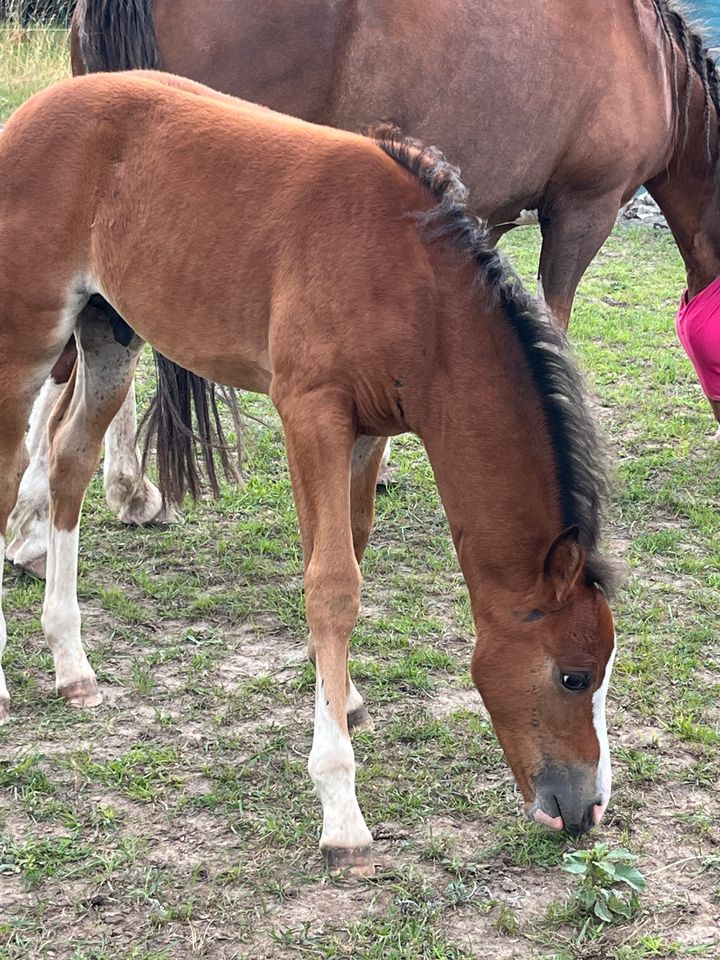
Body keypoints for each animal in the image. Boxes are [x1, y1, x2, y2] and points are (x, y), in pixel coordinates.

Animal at [0, 73, 620, 872]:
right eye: (574, 674)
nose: (585, 811)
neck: (414, 288)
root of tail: (34, 111)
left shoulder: (367, 430)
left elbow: (349, 545)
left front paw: (343, 695)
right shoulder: (311, 411)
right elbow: (332, 585)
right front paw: (341, 807)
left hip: (109, 332)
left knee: (69, 462)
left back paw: (71, 662)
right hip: (25, 336)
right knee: (13, 466)